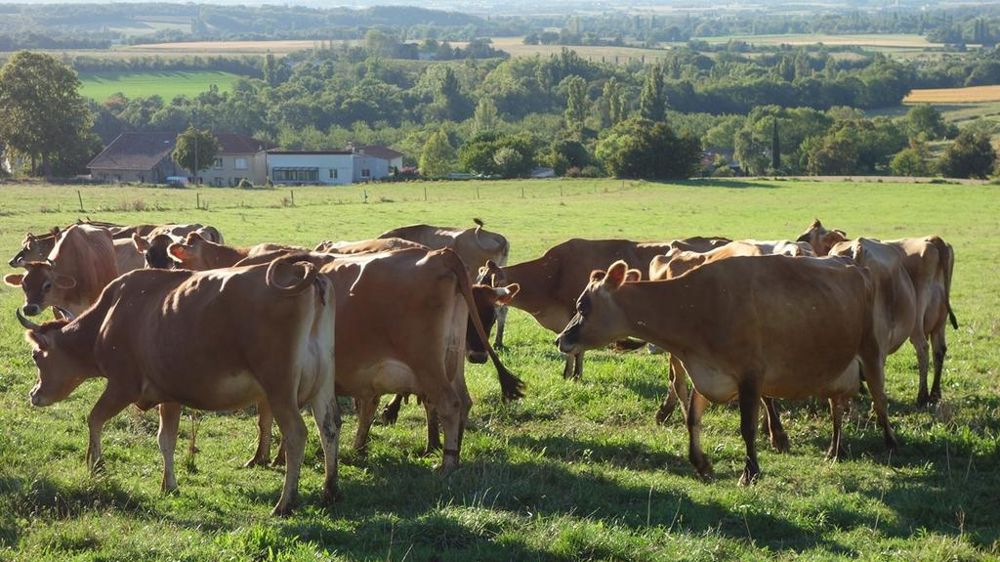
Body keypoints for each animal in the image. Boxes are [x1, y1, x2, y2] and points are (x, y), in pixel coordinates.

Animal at [15, 258, 337, 516]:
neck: (111, 315)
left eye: (35, 356)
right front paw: (168, 485)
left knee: (296, 434)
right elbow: (165, 440)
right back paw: (330, 490)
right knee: (329, 429)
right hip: (323, 388)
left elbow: (94, 419)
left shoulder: (123, 386)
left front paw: (95, 465)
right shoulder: (169, 395)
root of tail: (304, 273)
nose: (34, 394)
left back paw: (285, 503)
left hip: (279, 389)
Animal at [477, 237, 730, 379]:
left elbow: (575, 350)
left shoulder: (576, 314)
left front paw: (572, 375)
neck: (552, 274)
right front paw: (572, 374)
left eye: (488, 282)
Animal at [555, 256, 897, 485]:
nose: (561, 339)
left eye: (583, 306)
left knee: (880, 400)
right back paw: (834, 451)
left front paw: (750, 472)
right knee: (836, 408)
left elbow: (747, 427)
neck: (695, 305)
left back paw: (892, 444)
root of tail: (854, 265)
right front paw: (702, 464)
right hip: (837, 369)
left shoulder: (751, 376)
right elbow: (692, 419)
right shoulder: (707, 374)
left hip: (871, 351)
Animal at [797, 220, 958, 404]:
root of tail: (933, 240)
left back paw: (922, 396)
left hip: (916, 318)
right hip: (941, 317)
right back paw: (934, 394)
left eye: (805, 237)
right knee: (939, 350)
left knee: (922, 348)